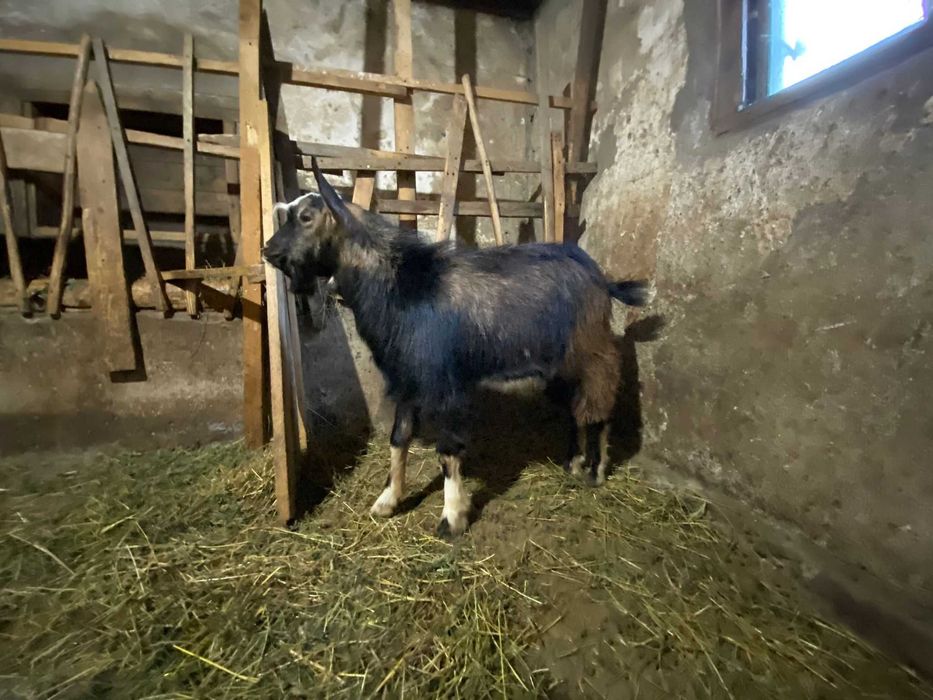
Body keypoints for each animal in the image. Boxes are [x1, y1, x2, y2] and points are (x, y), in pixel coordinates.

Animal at [263, 159, 649, 537]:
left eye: (306, 217)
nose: (269, 251)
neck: (400, 285)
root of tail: (602, 279)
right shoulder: (408, 378)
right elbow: (398, 437)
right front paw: (388, 500)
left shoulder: (445, 383)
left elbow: (447, 450)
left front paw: (452, 517)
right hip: (562, 364)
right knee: (576, 408)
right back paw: (574, 461)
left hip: (592, 352)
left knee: (598, 407)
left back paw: (596, 470)